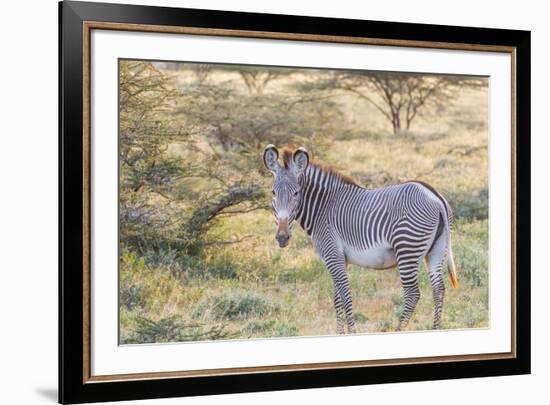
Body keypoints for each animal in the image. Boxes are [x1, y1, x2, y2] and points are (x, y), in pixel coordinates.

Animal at [266, 144, 460, 332]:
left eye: (296, 193)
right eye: (273, 192)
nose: (282, 237)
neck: (323, 208)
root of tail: (435, 197)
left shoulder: (332, 255)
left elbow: (345, 296)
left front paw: (352, 332)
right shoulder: (340, 259)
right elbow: (337, 299)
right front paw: (340, 333)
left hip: (407, 249)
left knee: (412, 294)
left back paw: (398, 330)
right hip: (436, 251)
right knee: (438, 289)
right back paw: (436, 329)